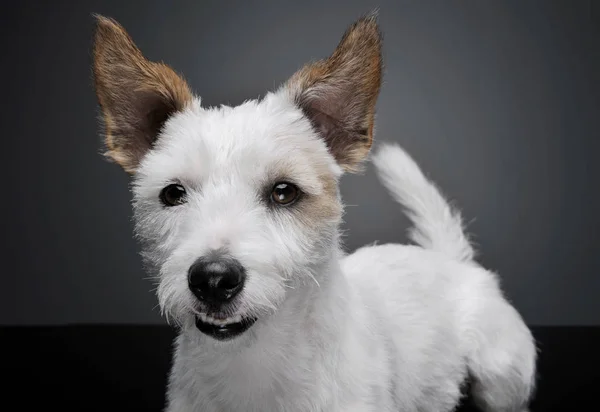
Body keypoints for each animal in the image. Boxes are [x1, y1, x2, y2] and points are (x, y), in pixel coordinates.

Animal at [91, 11, 536, 410]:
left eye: (284, 192)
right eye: (173, 194)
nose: (213, 279)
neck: (253, 362)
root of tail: (450, 260)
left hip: (501, 374)